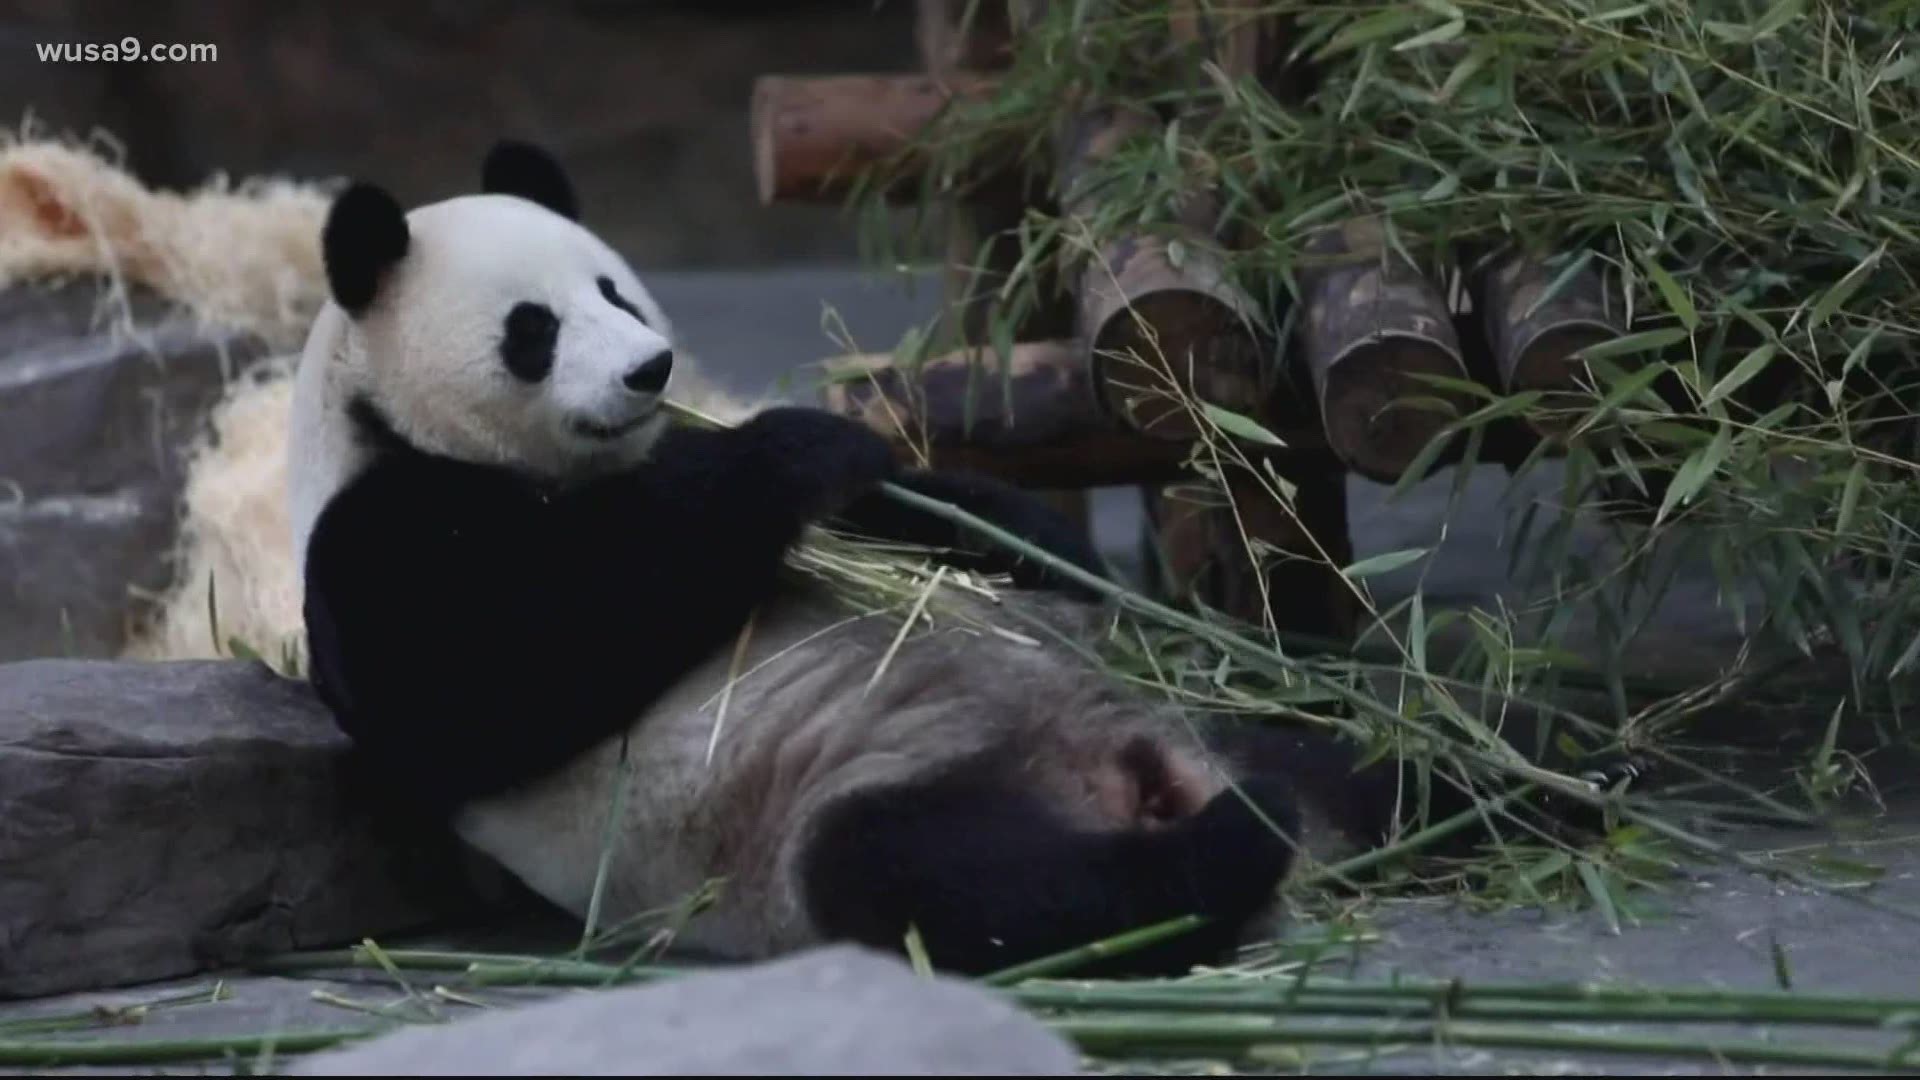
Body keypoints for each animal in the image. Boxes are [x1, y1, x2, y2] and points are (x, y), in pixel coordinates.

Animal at [288, 136, 1635, 976]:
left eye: (614, 288)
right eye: (533, 330)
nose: (649, 371)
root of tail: (1144, 773)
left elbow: (945, 516)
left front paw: (985, 522)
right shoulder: (376, 543)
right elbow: (500, 685)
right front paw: (794, 452)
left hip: (1220, 728)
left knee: (1369, 761)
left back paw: (1546, 772)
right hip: (839, 809)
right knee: (966, 887)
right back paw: (1225, 856)